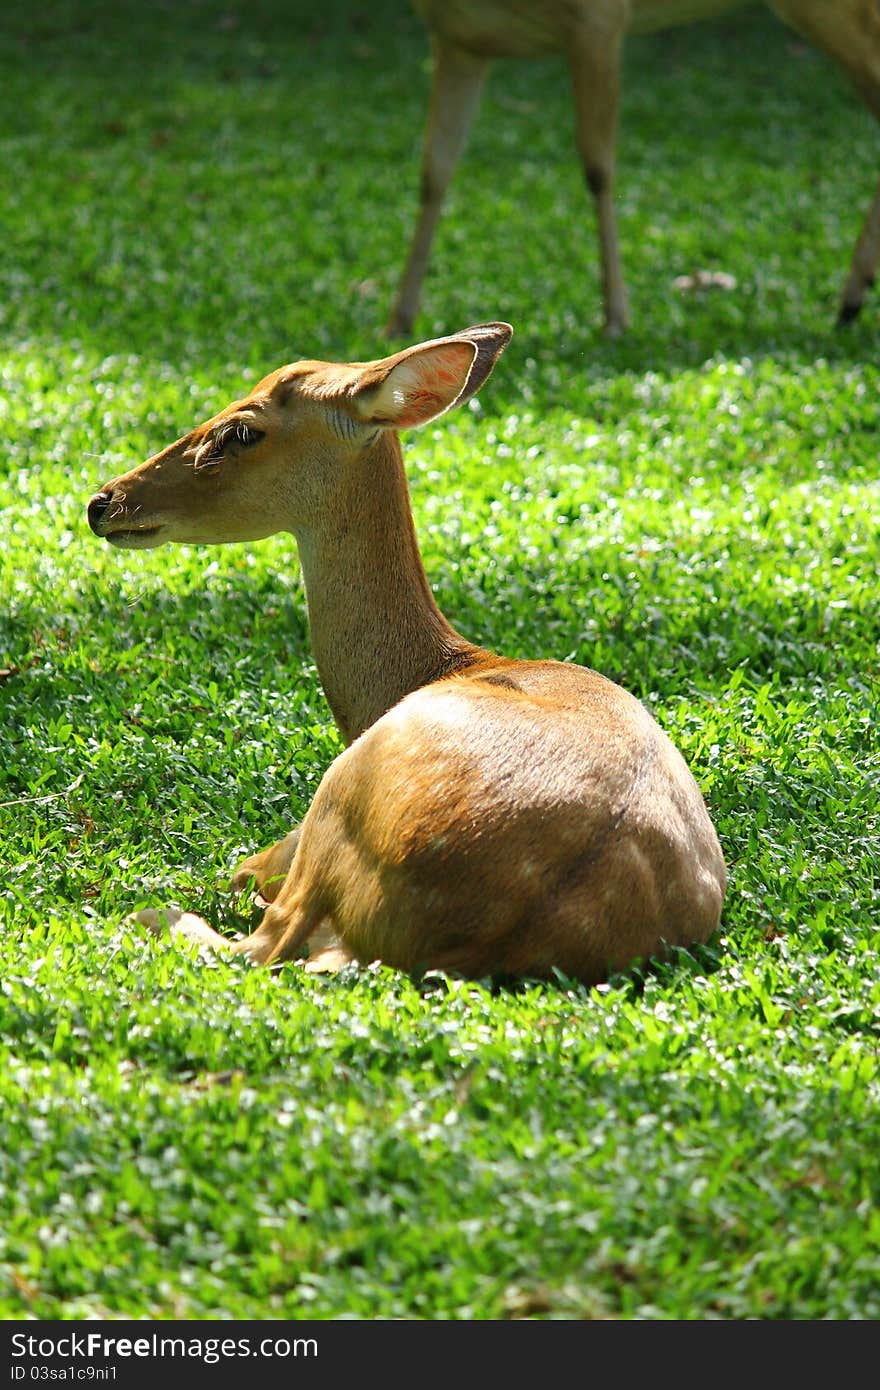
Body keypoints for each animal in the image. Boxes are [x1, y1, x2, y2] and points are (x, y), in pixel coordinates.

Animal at [85, 319, 722, 984]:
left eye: (241, 431)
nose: (103, 502)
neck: (435, 667)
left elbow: (243, 875)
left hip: (338, 799)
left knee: (261, 939)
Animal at [386, 0, 878, 334]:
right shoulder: (459, 41)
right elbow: (435, 172)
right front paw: (398, 323)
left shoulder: (599, 20)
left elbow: (597, 167)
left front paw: (616, 316)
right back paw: (850, 303)